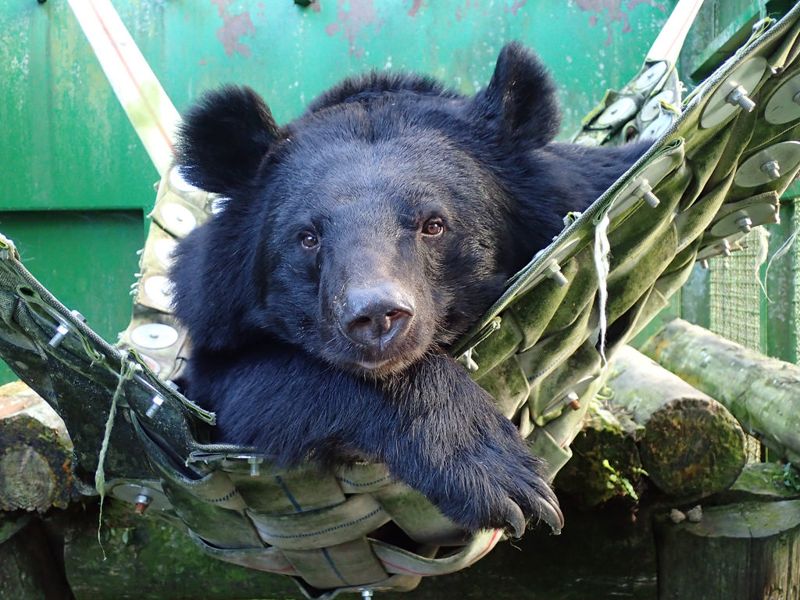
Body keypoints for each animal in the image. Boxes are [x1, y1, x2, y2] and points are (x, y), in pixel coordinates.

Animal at [169, 42, 649, 537]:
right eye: (308, 237)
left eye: (433, 225)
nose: (376, 317)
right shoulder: (215, 322)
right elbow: (254, 385)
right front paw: (503, 480)